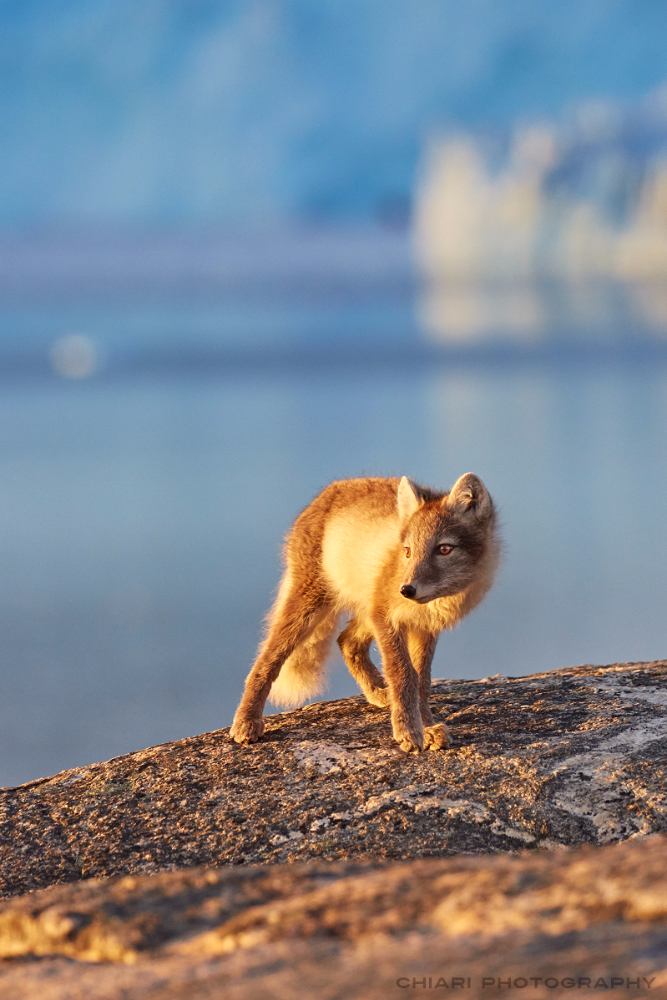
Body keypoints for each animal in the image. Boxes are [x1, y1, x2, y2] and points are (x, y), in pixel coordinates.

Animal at [232, 474, 498, 752]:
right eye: (408, 551)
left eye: (444, 549)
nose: (406, 590)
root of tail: (330, 490)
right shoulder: (387, 618)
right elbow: (404, 675)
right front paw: (408, 731)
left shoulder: (423, 627)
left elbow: (422, 682)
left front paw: (426, 727)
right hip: (310, 608)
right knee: (265, 661)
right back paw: (246, 723)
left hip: (364, 610)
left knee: (346, 641)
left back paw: (380, 692)